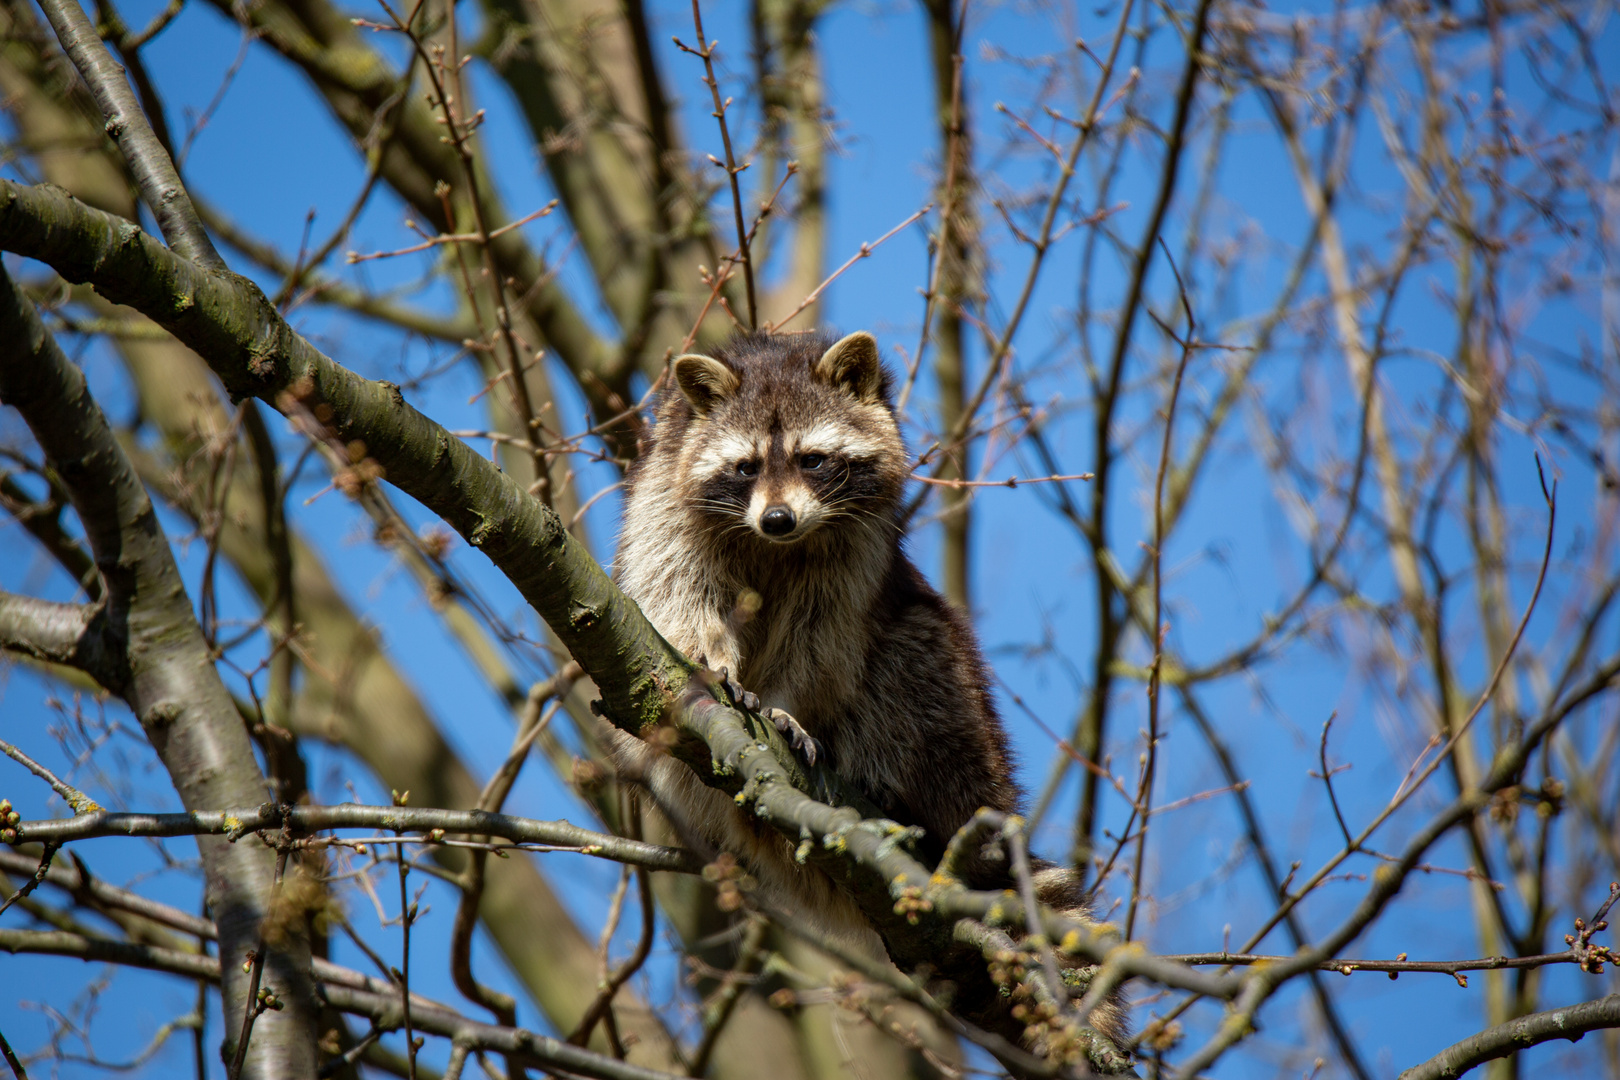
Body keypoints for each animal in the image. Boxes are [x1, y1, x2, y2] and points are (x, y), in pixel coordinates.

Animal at [609, 327, 1127, 1036]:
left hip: (963, 732)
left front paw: (786, 707)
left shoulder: (857, 545)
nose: (777, 520)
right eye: (746, 467)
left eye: (812, 460)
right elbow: (675, 598)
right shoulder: (665, 503)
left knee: (914, 648)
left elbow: (826, 639)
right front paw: (711, 662)